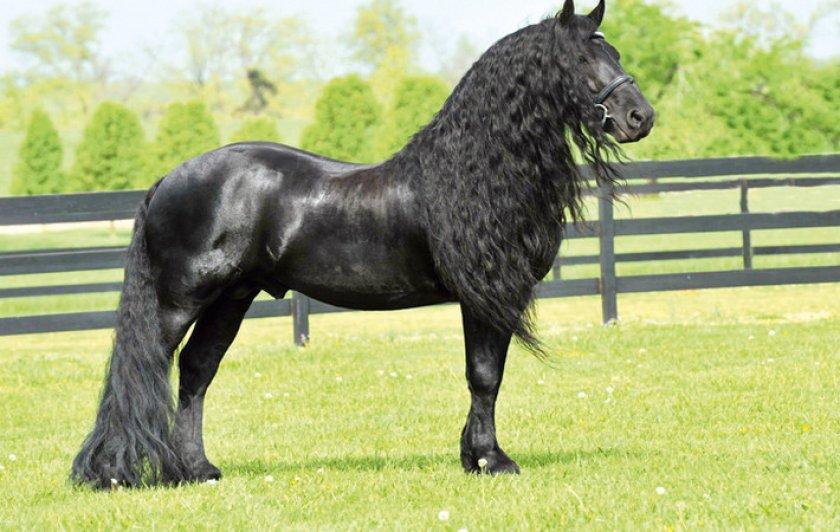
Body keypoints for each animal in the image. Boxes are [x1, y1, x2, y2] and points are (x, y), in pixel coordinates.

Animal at [71, 0, 655, 489]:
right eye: (581, 58)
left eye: (614, 54)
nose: (640, 117)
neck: (472, 173)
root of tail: (169, 178)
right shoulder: (485, 298)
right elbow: (484, 375)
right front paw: (492, 460)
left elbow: (486, 379)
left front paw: (474, 457)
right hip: (180, 299)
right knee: (143, 366)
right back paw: (117, 470)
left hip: (231, 298)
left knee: (196, 371)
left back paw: (196, 469)